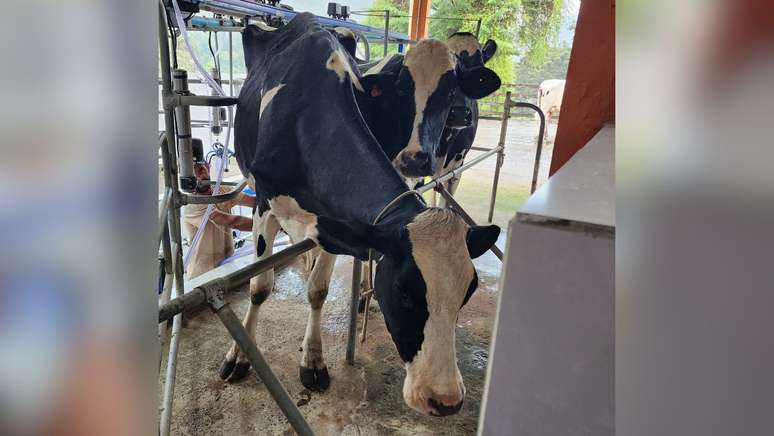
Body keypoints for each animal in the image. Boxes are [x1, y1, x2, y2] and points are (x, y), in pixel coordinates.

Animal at [222, 14, 500, 417]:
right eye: (403, 291)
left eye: (468, 291)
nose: (445, 400)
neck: (304, 115)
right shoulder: (263, 204)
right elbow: (260, 288)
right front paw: (239, 356)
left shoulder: (335, 222)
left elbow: (318, 290)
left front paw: (313, 359)